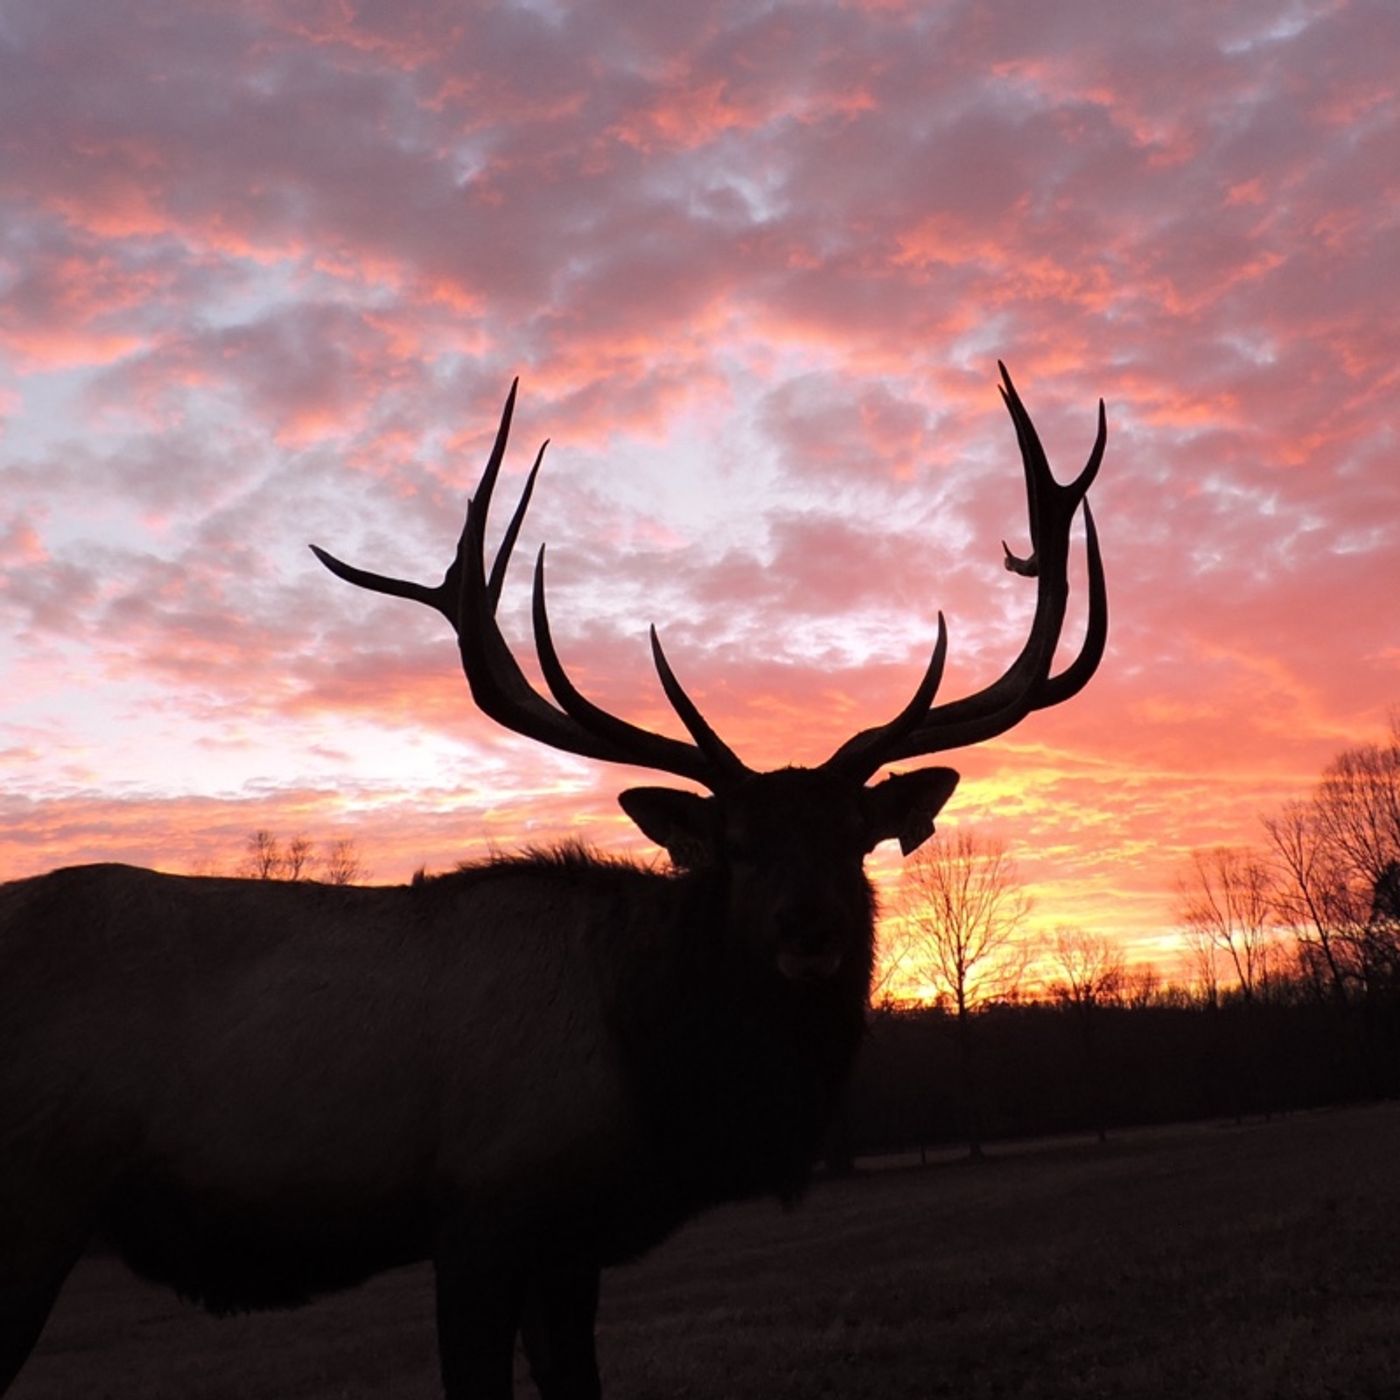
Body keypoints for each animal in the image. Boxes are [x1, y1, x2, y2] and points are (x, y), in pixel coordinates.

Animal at [2, 366, 1103, 1394]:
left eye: (852, 838)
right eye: (735, 844)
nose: (808, 930)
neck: (659, 1074)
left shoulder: (570, 1240)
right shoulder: (484, 1207)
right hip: (32, 1191)